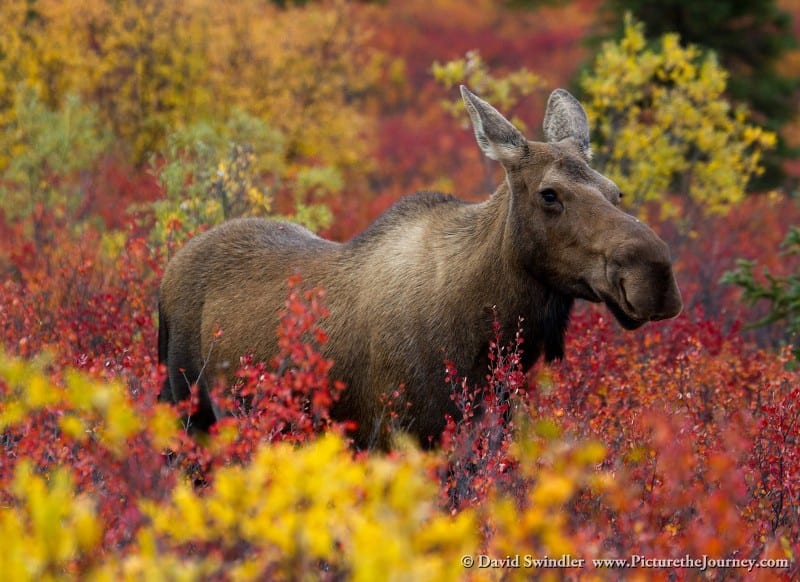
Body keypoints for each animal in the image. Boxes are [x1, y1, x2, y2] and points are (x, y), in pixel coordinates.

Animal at [159, 86, 684, 452]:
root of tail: (167, 273)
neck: (486, 329)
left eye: (616, 191)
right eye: (549, 193)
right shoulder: (397, 433)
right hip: (185, 409)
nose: (655, 276)